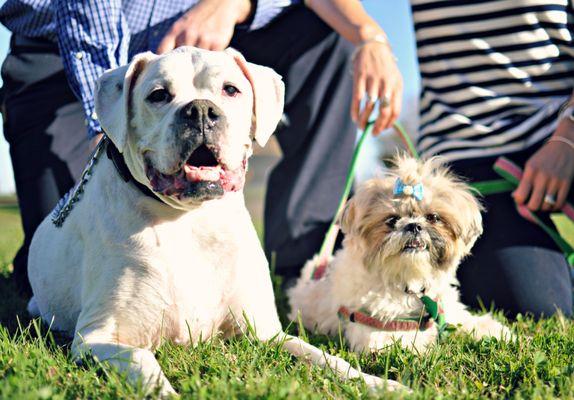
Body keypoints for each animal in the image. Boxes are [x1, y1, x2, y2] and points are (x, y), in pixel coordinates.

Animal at [24, 47, 402, 396]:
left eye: (231, 90)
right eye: (158, 95)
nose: (201, 110)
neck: (190, 219)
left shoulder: (266, 332)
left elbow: (325, 358)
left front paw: (381, 383)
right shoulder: (100, 335)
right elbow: (144, 362)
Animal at [288, 155, 512, 352]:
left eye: (433, 217)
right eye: (392, 220)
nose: (413, 225)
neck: (409, 282)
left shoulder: (447, 309)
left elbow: (464, 319)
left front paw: (493, 331)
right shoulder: (376, 327)